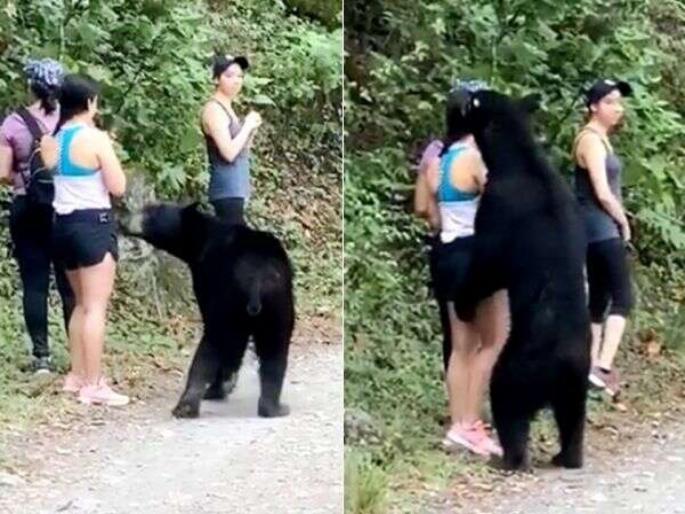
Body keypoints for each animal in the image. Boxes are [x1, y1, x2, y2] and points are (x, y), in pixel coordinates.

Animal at [120, 203, 295, 419]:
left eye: (150, 212)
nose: (122, 221)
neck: (201, 239)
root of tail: (256, 278)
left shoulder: (205, 278)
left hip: (254, 303)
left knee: (215, 346)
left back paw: (190, 405)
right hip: (266, 304)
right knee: (270, 346)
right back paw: (272, 407)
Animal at [453, 90, 591, 470]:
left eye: (474, 99)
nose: (459, 90)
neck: (518, 158)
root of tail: (563, 362)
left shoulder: (497, 204)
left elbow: (487, 265)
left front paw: (464, 302)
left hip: (520, 364)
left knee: (507, 399)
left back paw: (509, 458)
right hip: (577, 381)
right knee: (572, 417)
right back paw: (567, 456)